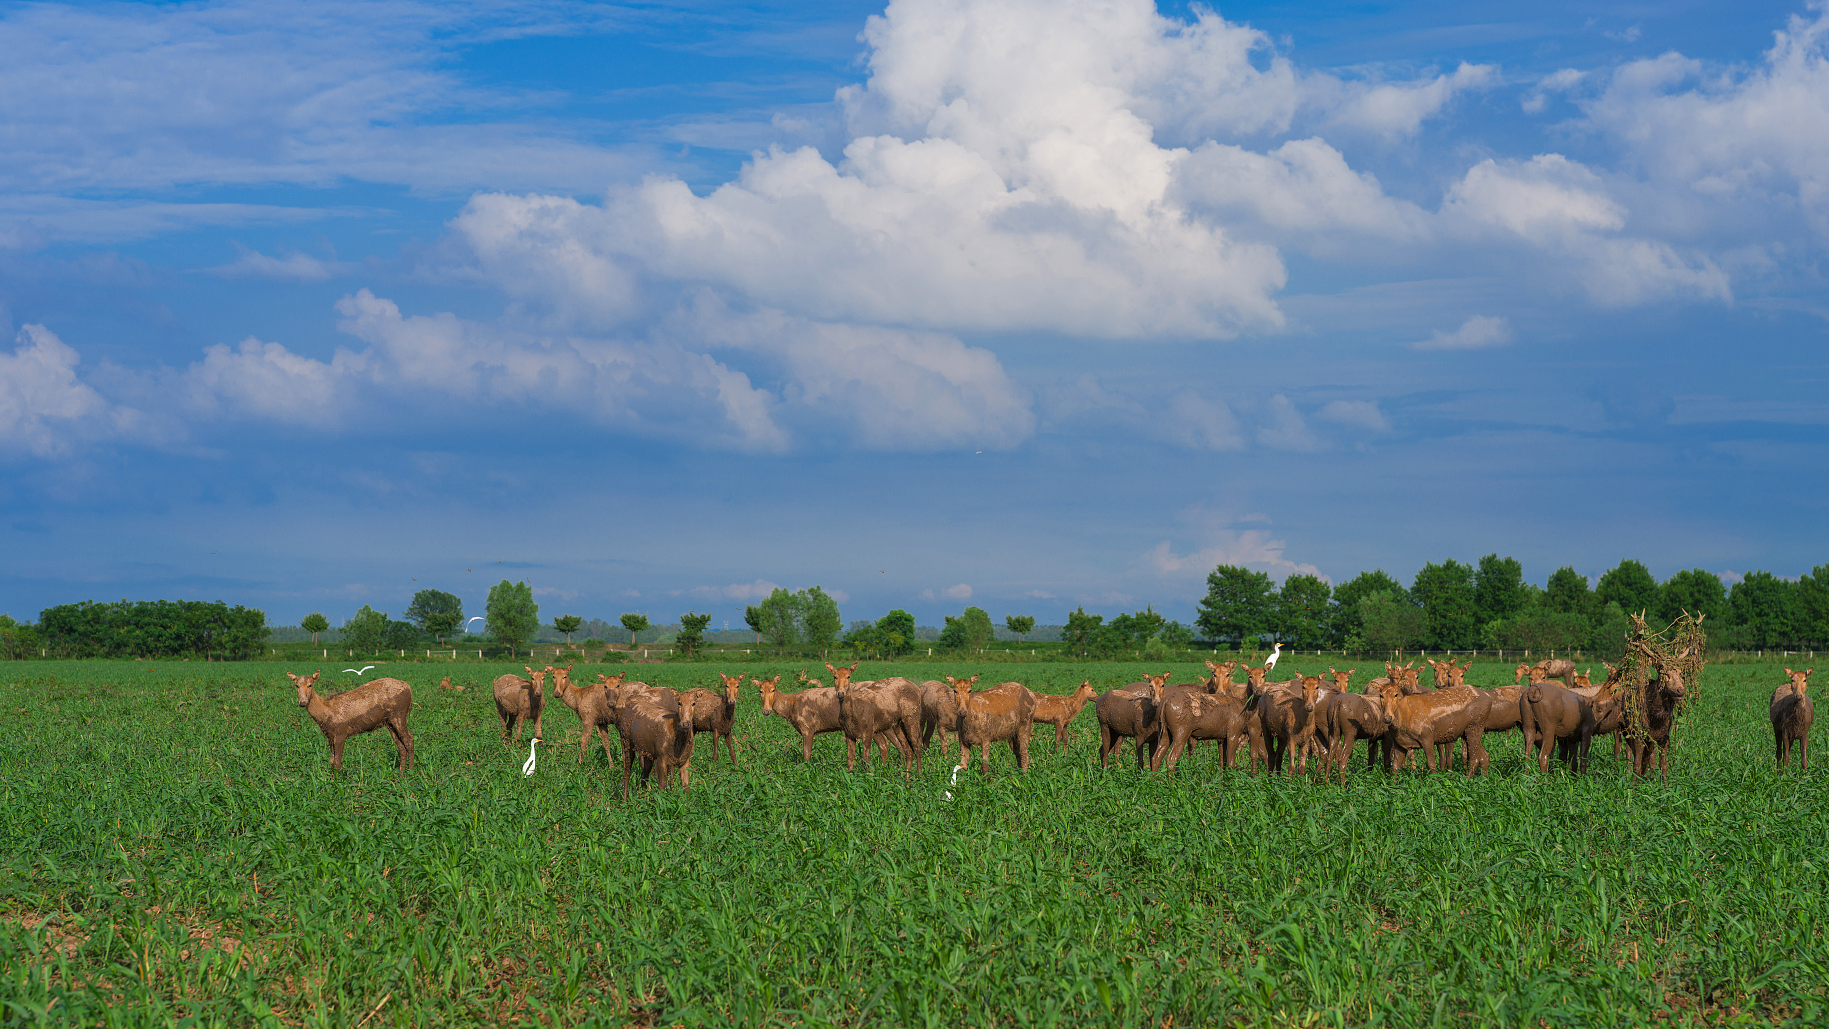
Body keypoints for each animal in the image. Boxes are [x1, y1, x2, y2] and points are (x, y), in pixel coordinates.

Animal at [287, 668, 417, 774]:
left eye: (310, 685)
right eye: (296, 685)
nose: (302, 702)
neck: (325, 713)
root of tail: (409, 688)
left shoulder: (341, 731)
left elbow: (337, 762)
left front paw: (337, 783)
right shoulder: (330, 736)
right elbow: (331, 761)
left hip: (399, 714)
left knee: (409, 740)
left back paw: (410, 772)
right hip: (389, 721)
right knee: (400, 745)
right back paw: (401, 772)